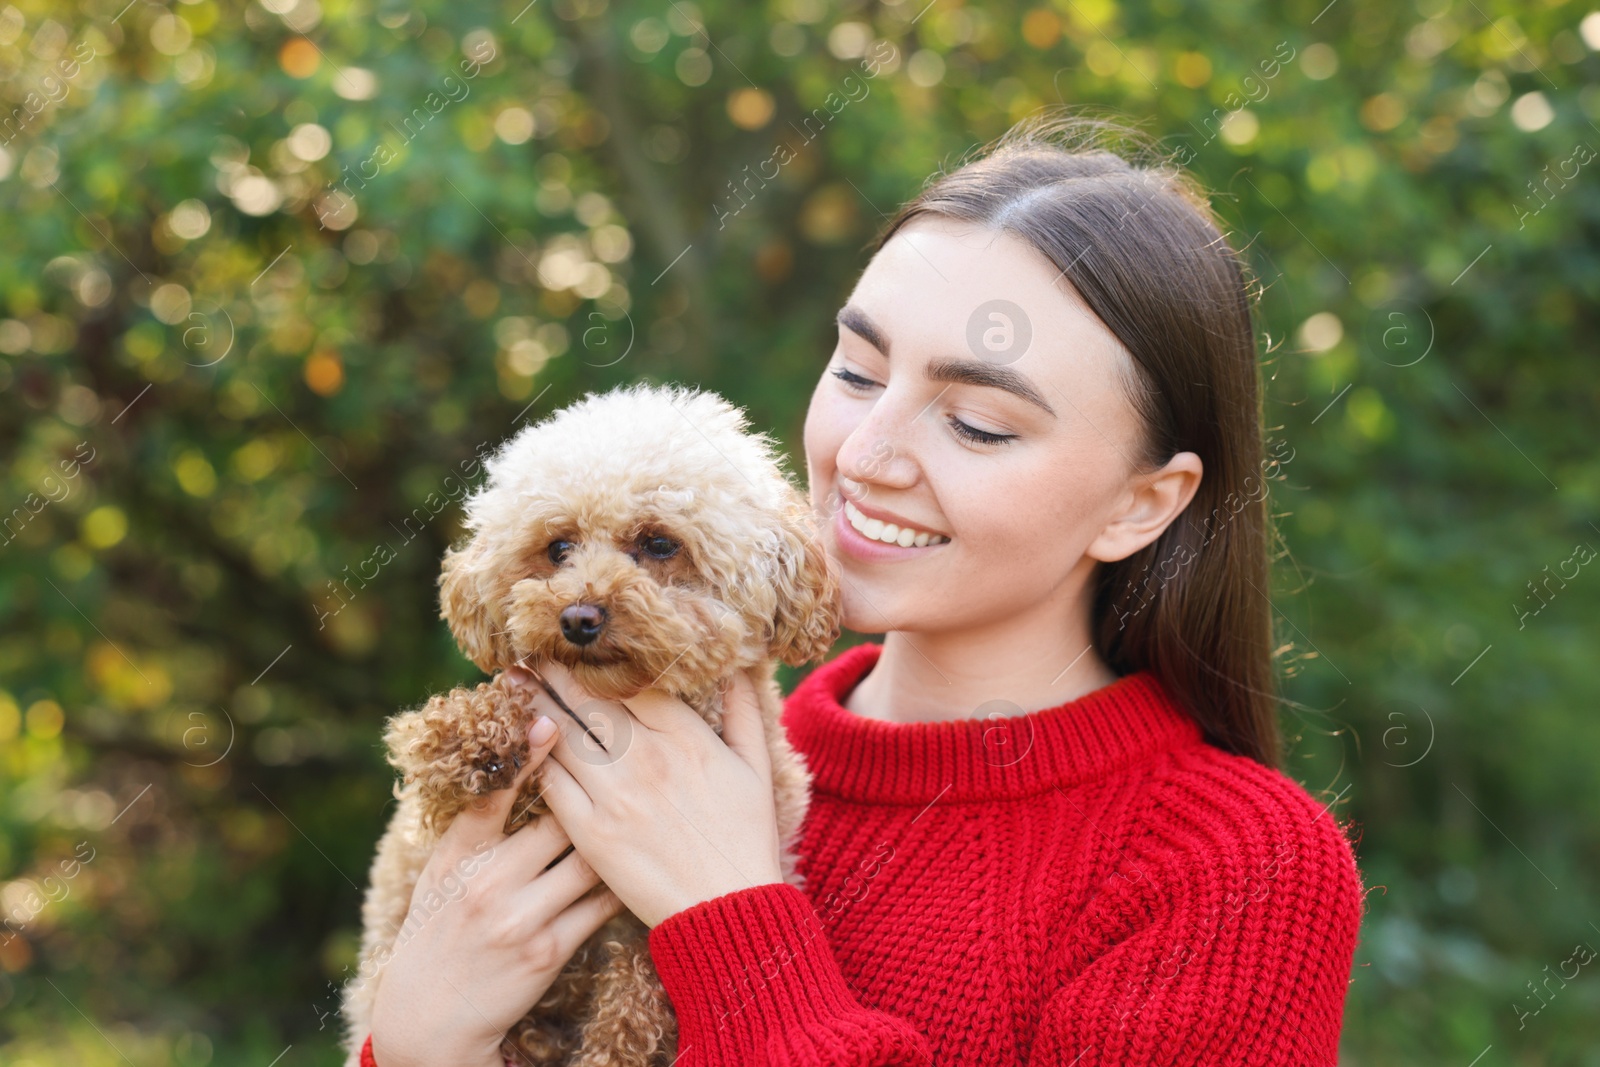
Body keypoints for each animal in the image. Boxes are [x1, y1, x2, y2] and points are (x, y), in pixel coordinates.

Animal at [344, 383, 844, 1067]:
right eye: (559, 548)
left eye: (659, 544)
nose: (579, 618)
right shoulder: (444, 830)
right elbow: (477, 743)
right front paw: (468, 736)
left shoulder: (654, 917)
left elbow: (642, 979)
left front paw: (616, 1044)